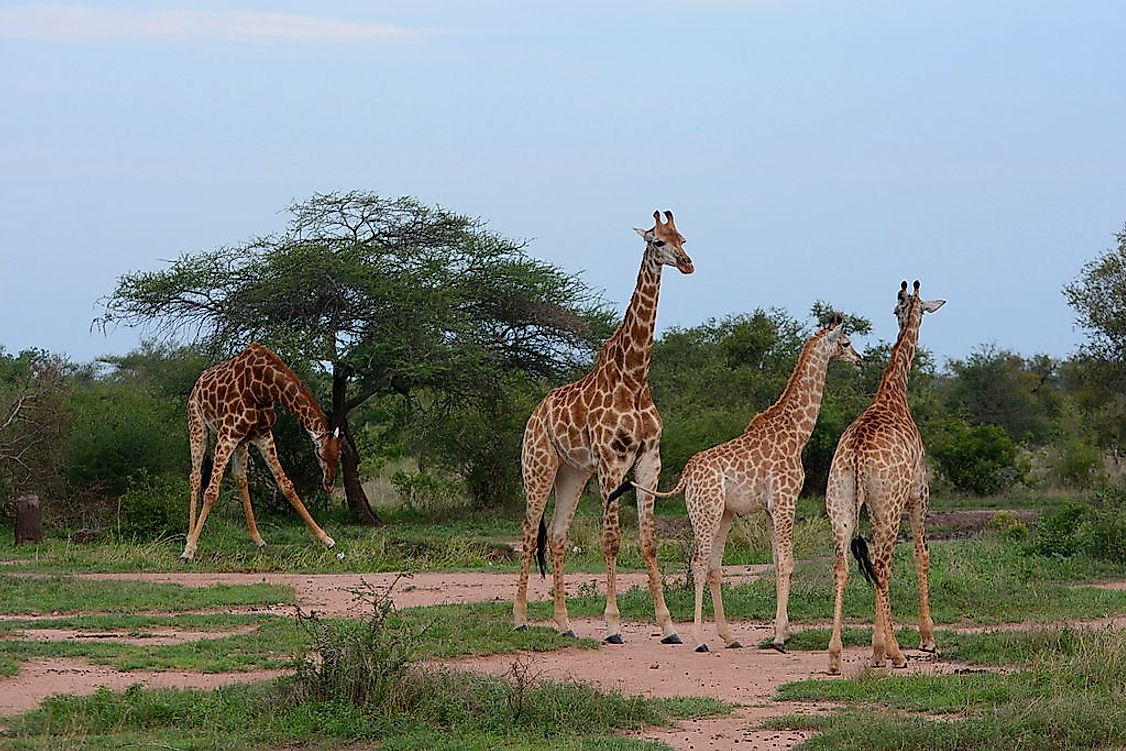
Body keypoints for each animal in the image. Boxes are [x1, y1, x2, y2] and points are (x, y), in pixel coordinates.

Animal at [180, 344, 342, 560]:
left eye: (339, 455)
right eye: (320, 454)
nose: (329, 484)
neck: (264, 386)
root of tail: (198, 383)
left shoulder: (262, 435)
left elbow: (286, 485)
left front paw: (325, 538)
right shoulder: (227, 433)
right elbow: (211, 492)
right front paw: (189, 550)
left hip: (242, 441)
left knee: (240, 477)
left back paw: (257, 539)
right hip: (197, 425)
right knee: (196, 477)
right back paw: (190, 537)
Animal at [513, 210, 693, 648]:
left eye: (682, 237)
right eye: (657, 241)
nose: (687, 263)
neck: (634, 377)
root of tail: (534, 415)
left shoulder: (649, 461)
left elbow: (648, 541)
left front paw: (669, 627)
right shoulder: (612, 463)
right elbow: (611, 541)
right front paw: (612, 626)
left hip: (573, 473)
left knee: (557, 534)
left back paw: (564, 623)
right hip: (538, 467)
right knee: (527, 533)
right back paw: (520, 618)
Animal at [608, 310, 860, 653]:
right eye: (846, 342)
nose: (860, 359)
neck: (798, 433)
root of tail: (687, 474)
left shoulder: (770, 508)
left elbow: (778, 563)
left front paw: (783, 631)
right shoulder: (785, 501)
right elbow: (788, 562)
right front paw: (779, 637)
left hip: (724, 514)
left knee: (714, 565)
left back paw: (728, 637)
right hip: (707, 512)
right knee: (699, 563)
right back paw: (699, 639)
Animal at [824, 280, 945, 675]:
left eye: (898, 309)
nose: (906, 319)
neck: (893, 395)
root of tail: (858, 455)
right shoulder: (919, 496)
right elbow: (922, 554)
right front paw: (926, 638)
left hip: (840, 505)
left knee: (844, 565)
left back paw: (835, 656)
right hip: (887, 506)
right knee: (882, 564)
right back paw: (893, 652)